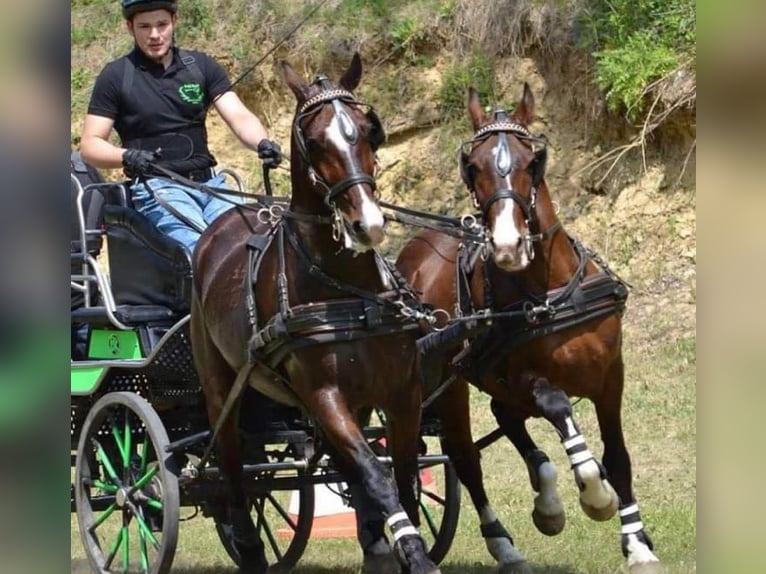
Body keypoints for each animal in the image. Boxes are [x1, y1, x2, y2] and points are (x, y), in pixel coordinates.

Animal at [192, 55, 440, 574]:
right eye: (315, 140)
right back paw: (250, 547)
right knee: (232, 467)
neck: (346, 287)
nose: (369, 224)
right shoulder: (324, 395)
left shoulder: (401, 391)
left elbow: (402, 475)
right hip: (221, 388)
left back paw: (373, 543)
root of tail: (215, 230)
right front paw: (412, 549)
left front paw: (398, 546)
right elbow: (377, 473)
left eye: (369, 131)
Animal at [400, 85, 664, 574]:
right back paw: (503, 543)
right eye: (473, 165)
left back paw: (547, 503)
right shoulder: (526, 379)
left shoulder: (610, 377)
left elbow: (617, 457)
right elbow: (562, 415)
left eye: (532, 160)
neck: (551, 291)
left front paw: (637, 543)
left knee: (506, 421)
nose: (507, 246)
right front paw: (596, 496)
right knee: (464, 457)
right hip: (449, 384)